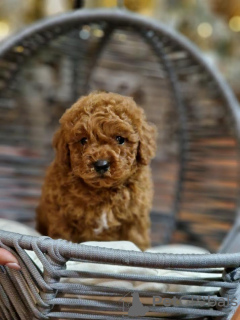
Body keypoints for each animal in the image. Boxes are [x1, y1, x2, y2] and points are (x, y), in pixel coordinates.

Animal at [35, 91, 156, 249]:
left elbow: (136, 240)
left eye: (120, 139)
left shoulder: (134, 219)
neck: (103, 191)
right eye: (83, 140)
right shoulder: (62, 217)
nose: (101, 164)